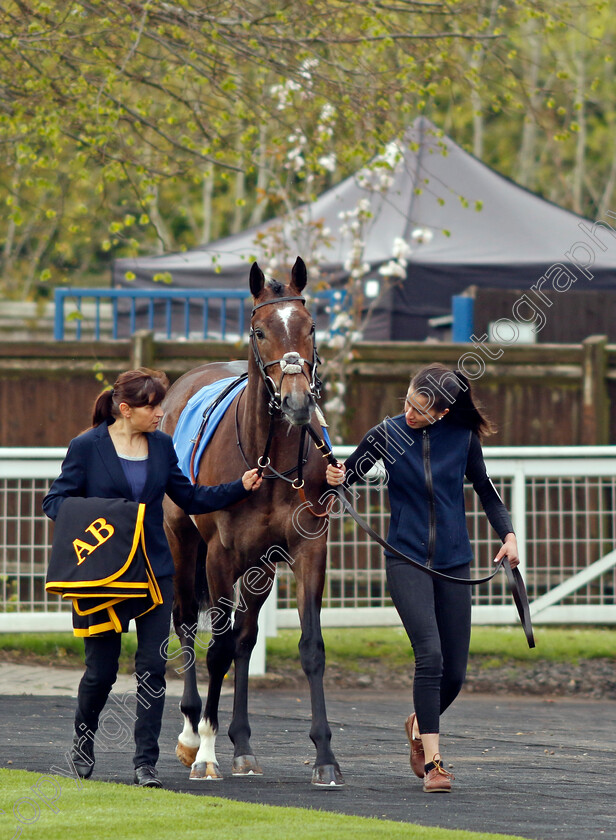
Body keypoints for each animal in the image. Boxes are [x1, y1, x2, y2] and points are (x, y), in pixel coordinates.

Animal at [161, 258, 344, 788]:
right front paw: (205, 752)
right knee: (187, 622)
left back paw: (242, 744)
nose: (298, 402)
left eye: (310, 327)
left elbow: (310, 647)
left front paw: (325, 756)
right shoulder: (220, 555)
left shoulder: (308, 548)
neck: (271, 461)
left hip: (261, 563)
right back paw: (190, 731)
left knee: (244, 639)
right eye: (260, 331)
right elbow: (216, 648)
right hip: (182, 541)